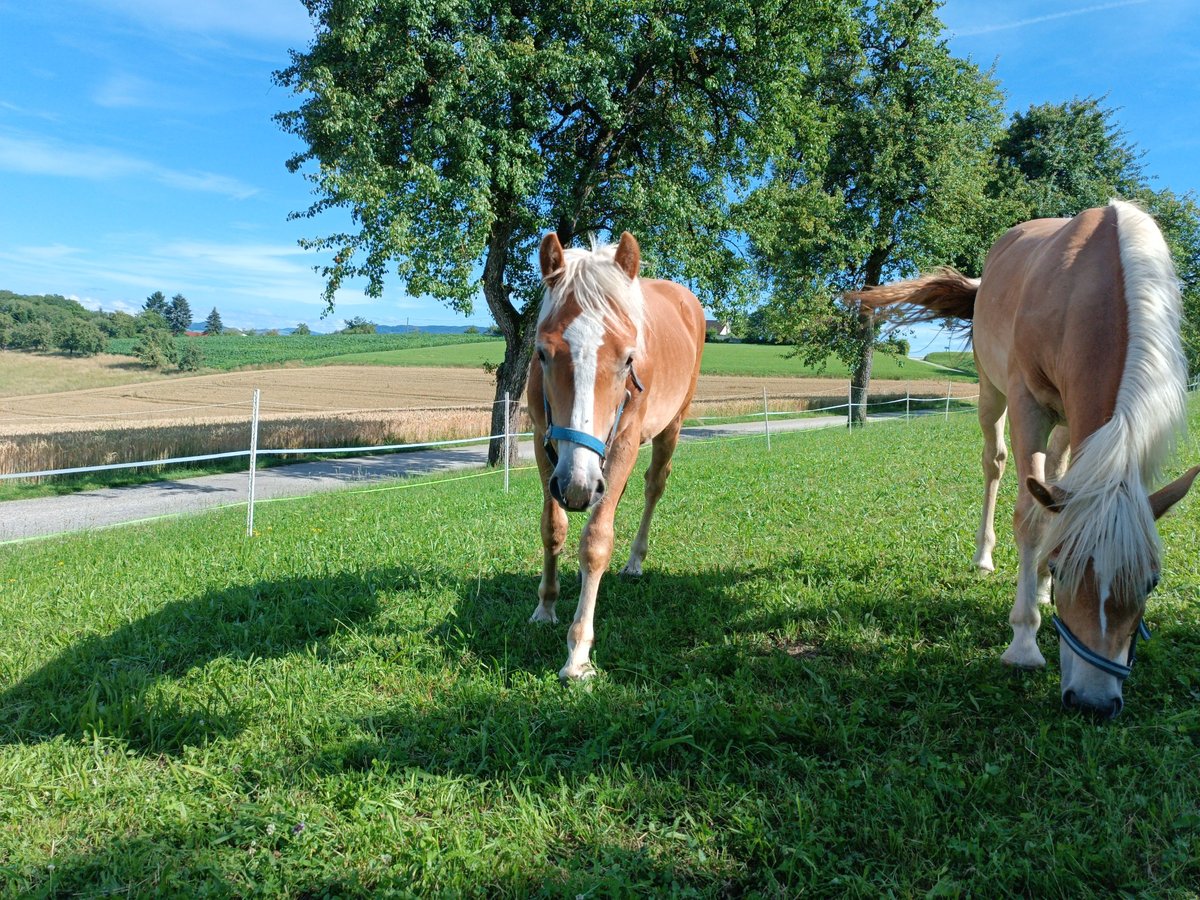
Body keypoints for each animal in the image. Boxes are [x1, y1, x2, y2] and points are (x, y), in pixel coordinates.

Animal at [525, 232, 700, 681]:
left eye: (628, 358)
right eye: (543, 353)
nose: (577, 487)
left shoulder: (622, 445)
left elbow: (596, 542)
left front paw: (578, 654)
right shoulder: (544, 443)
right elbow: (553, 528)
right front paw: (545, 607)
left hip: (670, 427)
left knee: (654, 487)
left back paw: (635, 561)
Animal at [849, 202, 1195, 720]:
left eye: (1151, 583)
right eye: (1068, 569)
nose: (1093, 702)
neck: (1088, 290)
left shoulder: (1074, 422)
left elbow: (1053, 504)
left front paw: (1042, 590)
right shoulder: (1028, 404)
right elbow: (1030, 518)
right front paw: (1024, 642)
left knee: (1053, 481)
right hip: (991, 395)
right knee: (994, 465)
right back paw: (985, 556)